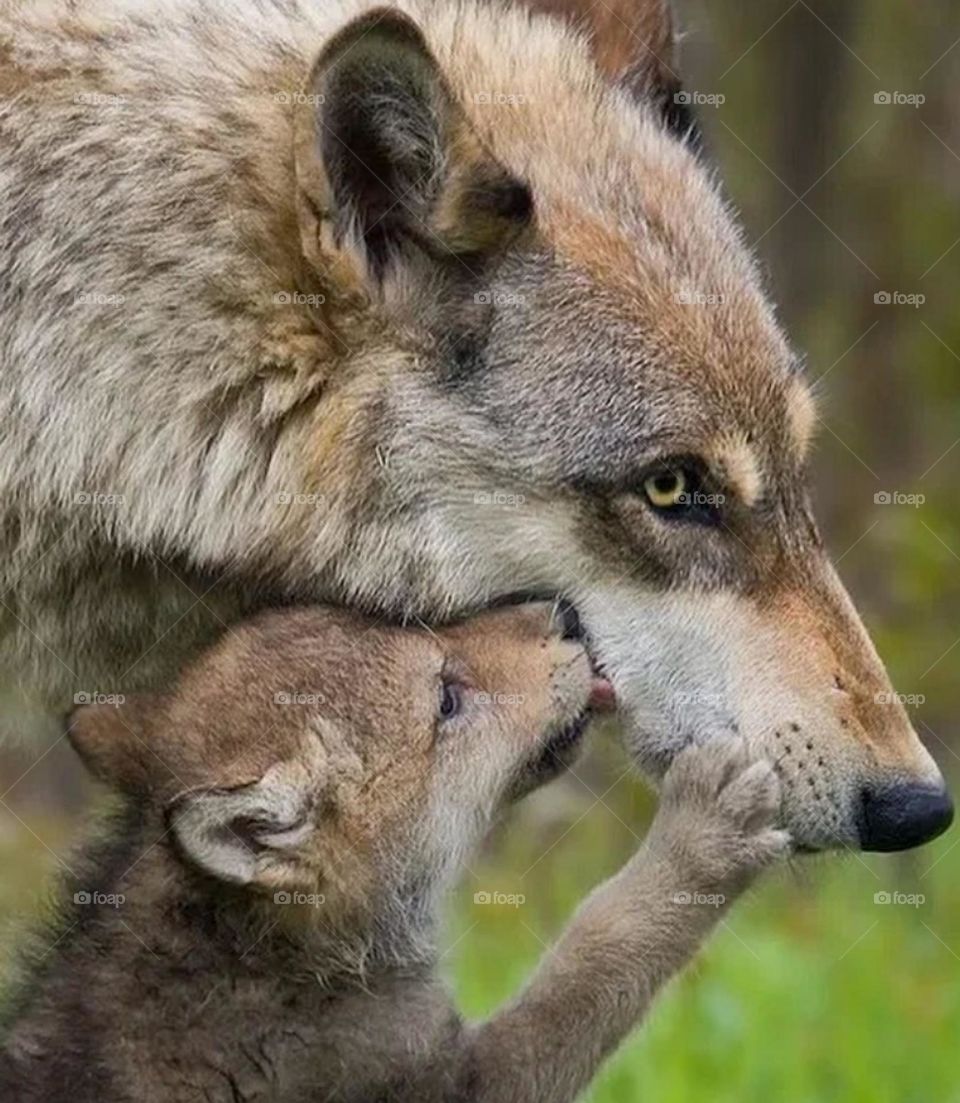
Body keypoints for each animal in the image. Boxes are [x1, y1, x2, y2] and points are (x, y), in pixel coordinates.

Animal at [0, 602, 787, 1102]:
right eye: (446, 700)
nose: (565, 611)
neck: (272, 961)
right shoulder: (466, 1085)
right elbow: (594, 954)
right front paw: (704, 834)